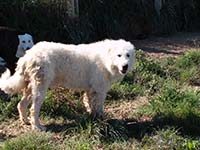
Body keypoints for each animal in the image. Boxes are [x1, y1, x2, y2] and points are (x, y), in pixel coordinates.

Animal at [0, 39, 136, 131]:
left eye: (128, 55)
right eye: (119, 55)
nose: (125, 66)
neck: (106, 58)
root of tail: (28, 55)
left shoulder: (91, 90)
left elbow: (89, 104)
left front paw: (92, 117)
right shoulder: (99, 90)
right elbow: (99, 107)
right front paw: (102, 119)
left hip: (30, 88)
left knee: (21, 104)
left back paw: (26, 121)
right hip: (40, 88)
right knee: (33, 109)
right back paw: (38, 127)